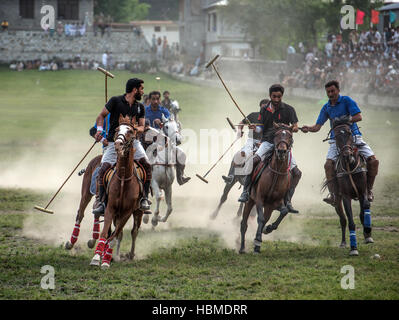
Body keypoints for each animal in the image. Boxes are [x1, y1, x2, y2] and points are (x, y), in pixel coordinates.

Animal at [90, 115, 144, 268]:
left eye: (130, 131)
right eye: (117, 129)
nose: (118, 144)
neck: (123, 179)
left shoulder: (127, 212)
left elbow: (115, 235)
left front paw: (106, 260)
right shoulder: (110, 208)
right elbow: (105, 233)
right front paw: (97, 257)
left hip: (139, 212)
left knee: (134, 231)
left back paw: (129, 255)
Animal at [239, 124, 296, 254]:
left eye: (290, 136)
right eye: (276, 135)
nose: (281, 151)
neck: (277, 173)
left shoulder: (276, 203)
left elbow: (284, 212)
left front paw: (268, 229)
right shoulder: (259, 199)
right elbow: (260, 219)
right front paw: (258, 239)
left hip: (269, 208)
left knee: (266, 218)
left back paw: (258, 243)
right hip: (250, 201)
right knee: (244, 224)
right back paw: (242, 248)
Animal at [324, 117, 374, 255]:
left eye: (350, 133)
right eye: (336, 136)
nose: (347, 154)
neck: (350, 166)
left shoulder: (362, 192)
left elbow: (365, 208)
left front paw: (367, 232)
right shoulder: (346, 196)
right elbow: (350, 221)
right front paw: (353, 248)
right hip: (337, 200)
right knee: (343, 219)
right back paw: (343, 242)